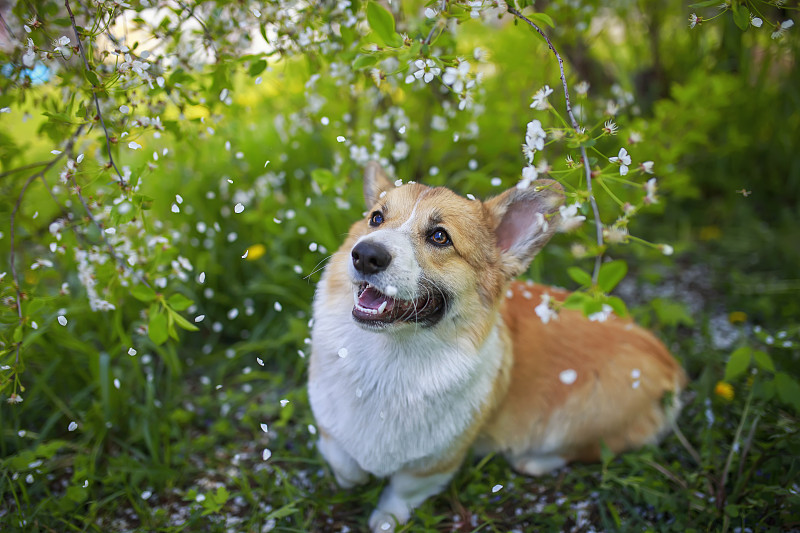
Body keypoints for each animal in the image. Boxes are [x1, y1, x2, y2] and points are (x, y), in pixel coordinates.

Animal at [310, 163, 684, 532]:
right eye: (376, 218)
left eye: (439, 237)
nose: (365, 255)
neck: (388, 361)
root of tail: (669, 362)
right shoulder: (331, 426)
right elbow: (343, 461)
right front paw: (354, 476)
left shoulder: (437, 462)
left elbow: (404, 489)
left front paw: (387, 518)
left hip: (584, 415)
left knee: (592, 448)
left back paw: (534, 461)